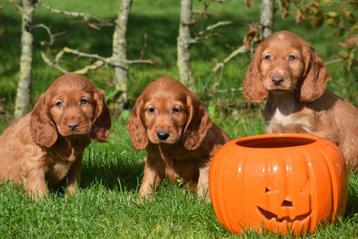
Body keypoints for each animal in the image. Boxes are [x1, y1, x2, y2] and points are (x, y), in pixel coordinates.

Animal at [243, 30, 358, 168]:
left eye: (292, 57)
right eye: (267, 57)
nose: (277, 80)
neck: (284, 101)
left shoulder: (323, 134)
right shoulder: (273, 128)